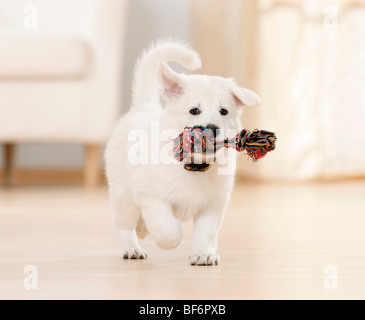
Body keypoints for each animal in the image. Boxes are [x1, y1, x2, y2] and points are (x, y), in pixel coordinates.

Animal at [104, 40, 260, 264]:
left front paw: (203, 253)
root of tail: (143, 108)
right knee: (124, 224)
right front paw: (167, 241)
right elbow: (168, 230)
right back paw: (131, 247)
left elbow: (206, 232)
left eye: (224, 111)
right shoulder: (151, 196)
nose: (212, 128)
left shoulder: (214, 204)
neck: (194, 164)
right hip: (123, 193)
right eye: (194, 110)